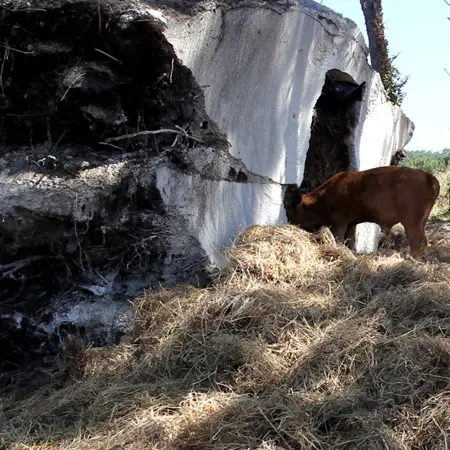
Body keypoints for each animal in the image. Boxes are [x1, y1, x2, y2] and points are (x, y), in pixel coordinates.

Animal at [288, 164, 440, 256]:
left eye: (293, 211)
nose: (290, 222)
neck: (324, 195)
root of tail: (428, 176)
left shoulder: (339, 223)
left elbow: (339, 239)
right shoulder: (351, 224)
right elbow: (350, 241)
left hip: (411, 222)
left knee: (417, 241)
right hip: (421, 222)